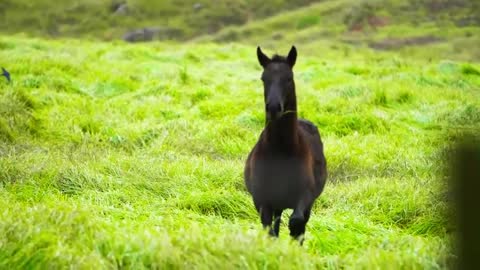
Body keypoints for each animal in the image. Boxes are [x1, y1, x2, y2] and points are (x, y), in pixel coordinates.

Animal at [244, 45, 326, 244]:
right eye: (263, 78)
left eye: (289, 78)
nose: (274, 108)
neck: (281, 150)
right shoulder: (263, 201)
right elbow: (270, 229)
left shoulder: (305, 196)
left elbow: (297, 221)